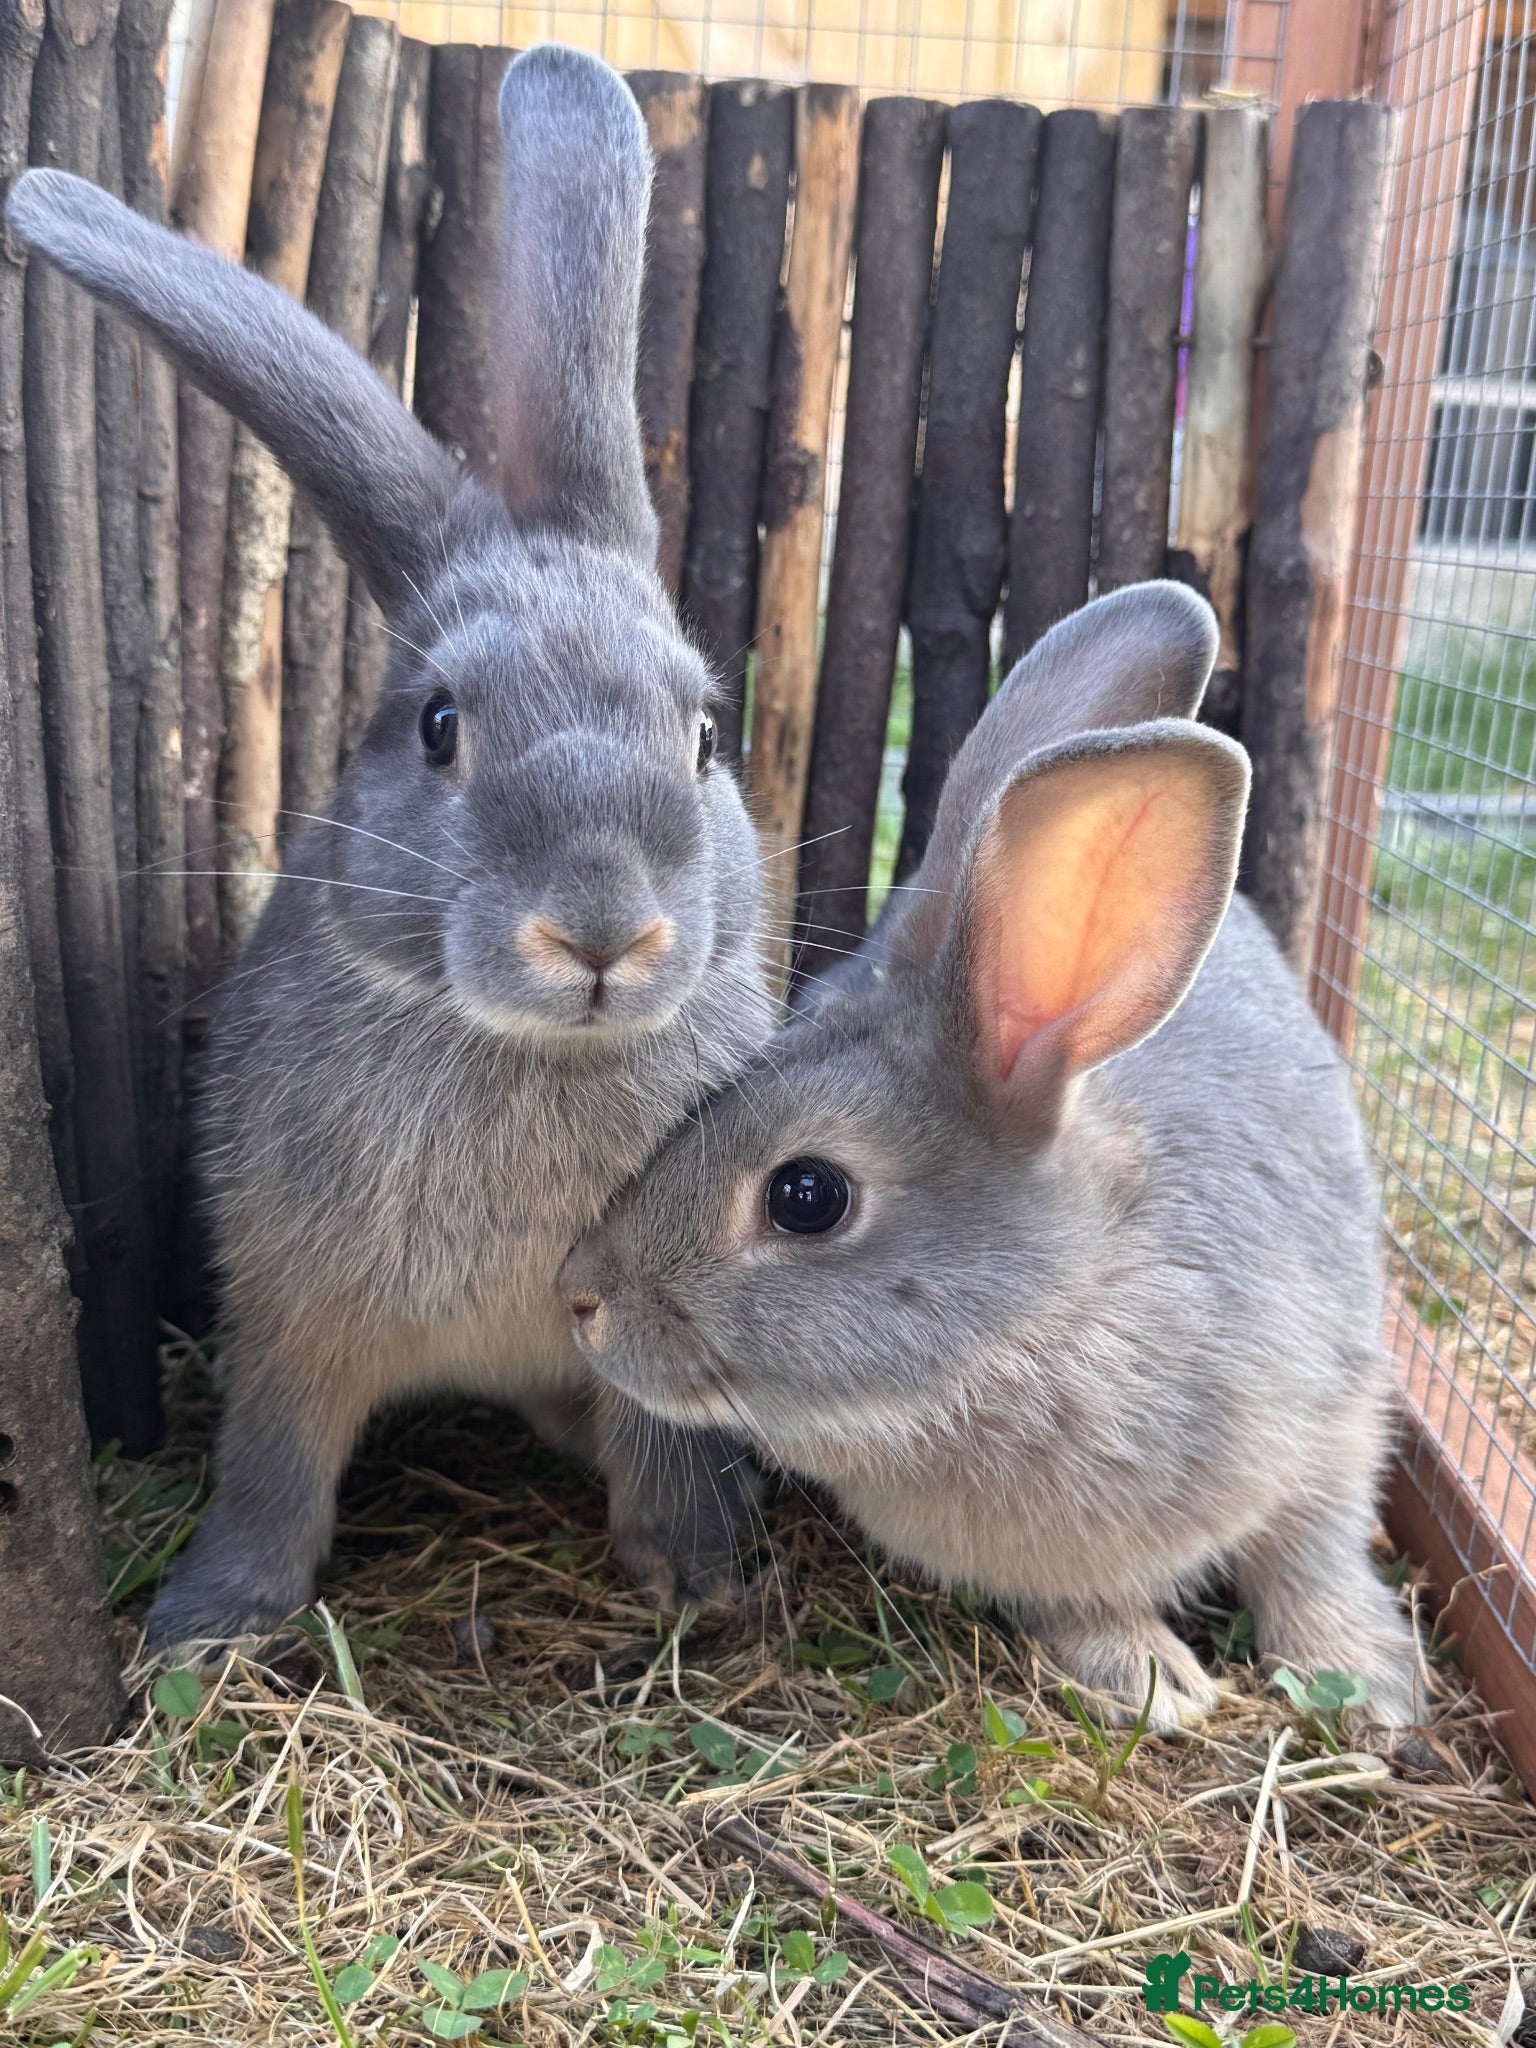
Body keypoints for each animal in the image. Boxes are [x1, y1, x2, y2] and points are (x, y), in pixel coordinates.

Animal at [7, 45, 772, 1645]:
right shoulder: (287, 1318)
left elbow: (665, 1445)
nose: (603, 931)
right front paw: (209, 1625)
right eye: (437, 725)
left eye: (705, 737)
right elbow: (273, 1467)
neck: (526, 1052)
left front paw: (700, 1583)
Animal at [560, 582, 1425, 1732]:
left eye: (806, 1194)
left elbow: (1315, 1548)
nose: (581, 1297)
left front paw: (1367, 1682)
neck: (1051, 1315)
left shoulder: (1336, 1410)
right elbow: (1084, 1603)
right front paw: (1151, 1679)